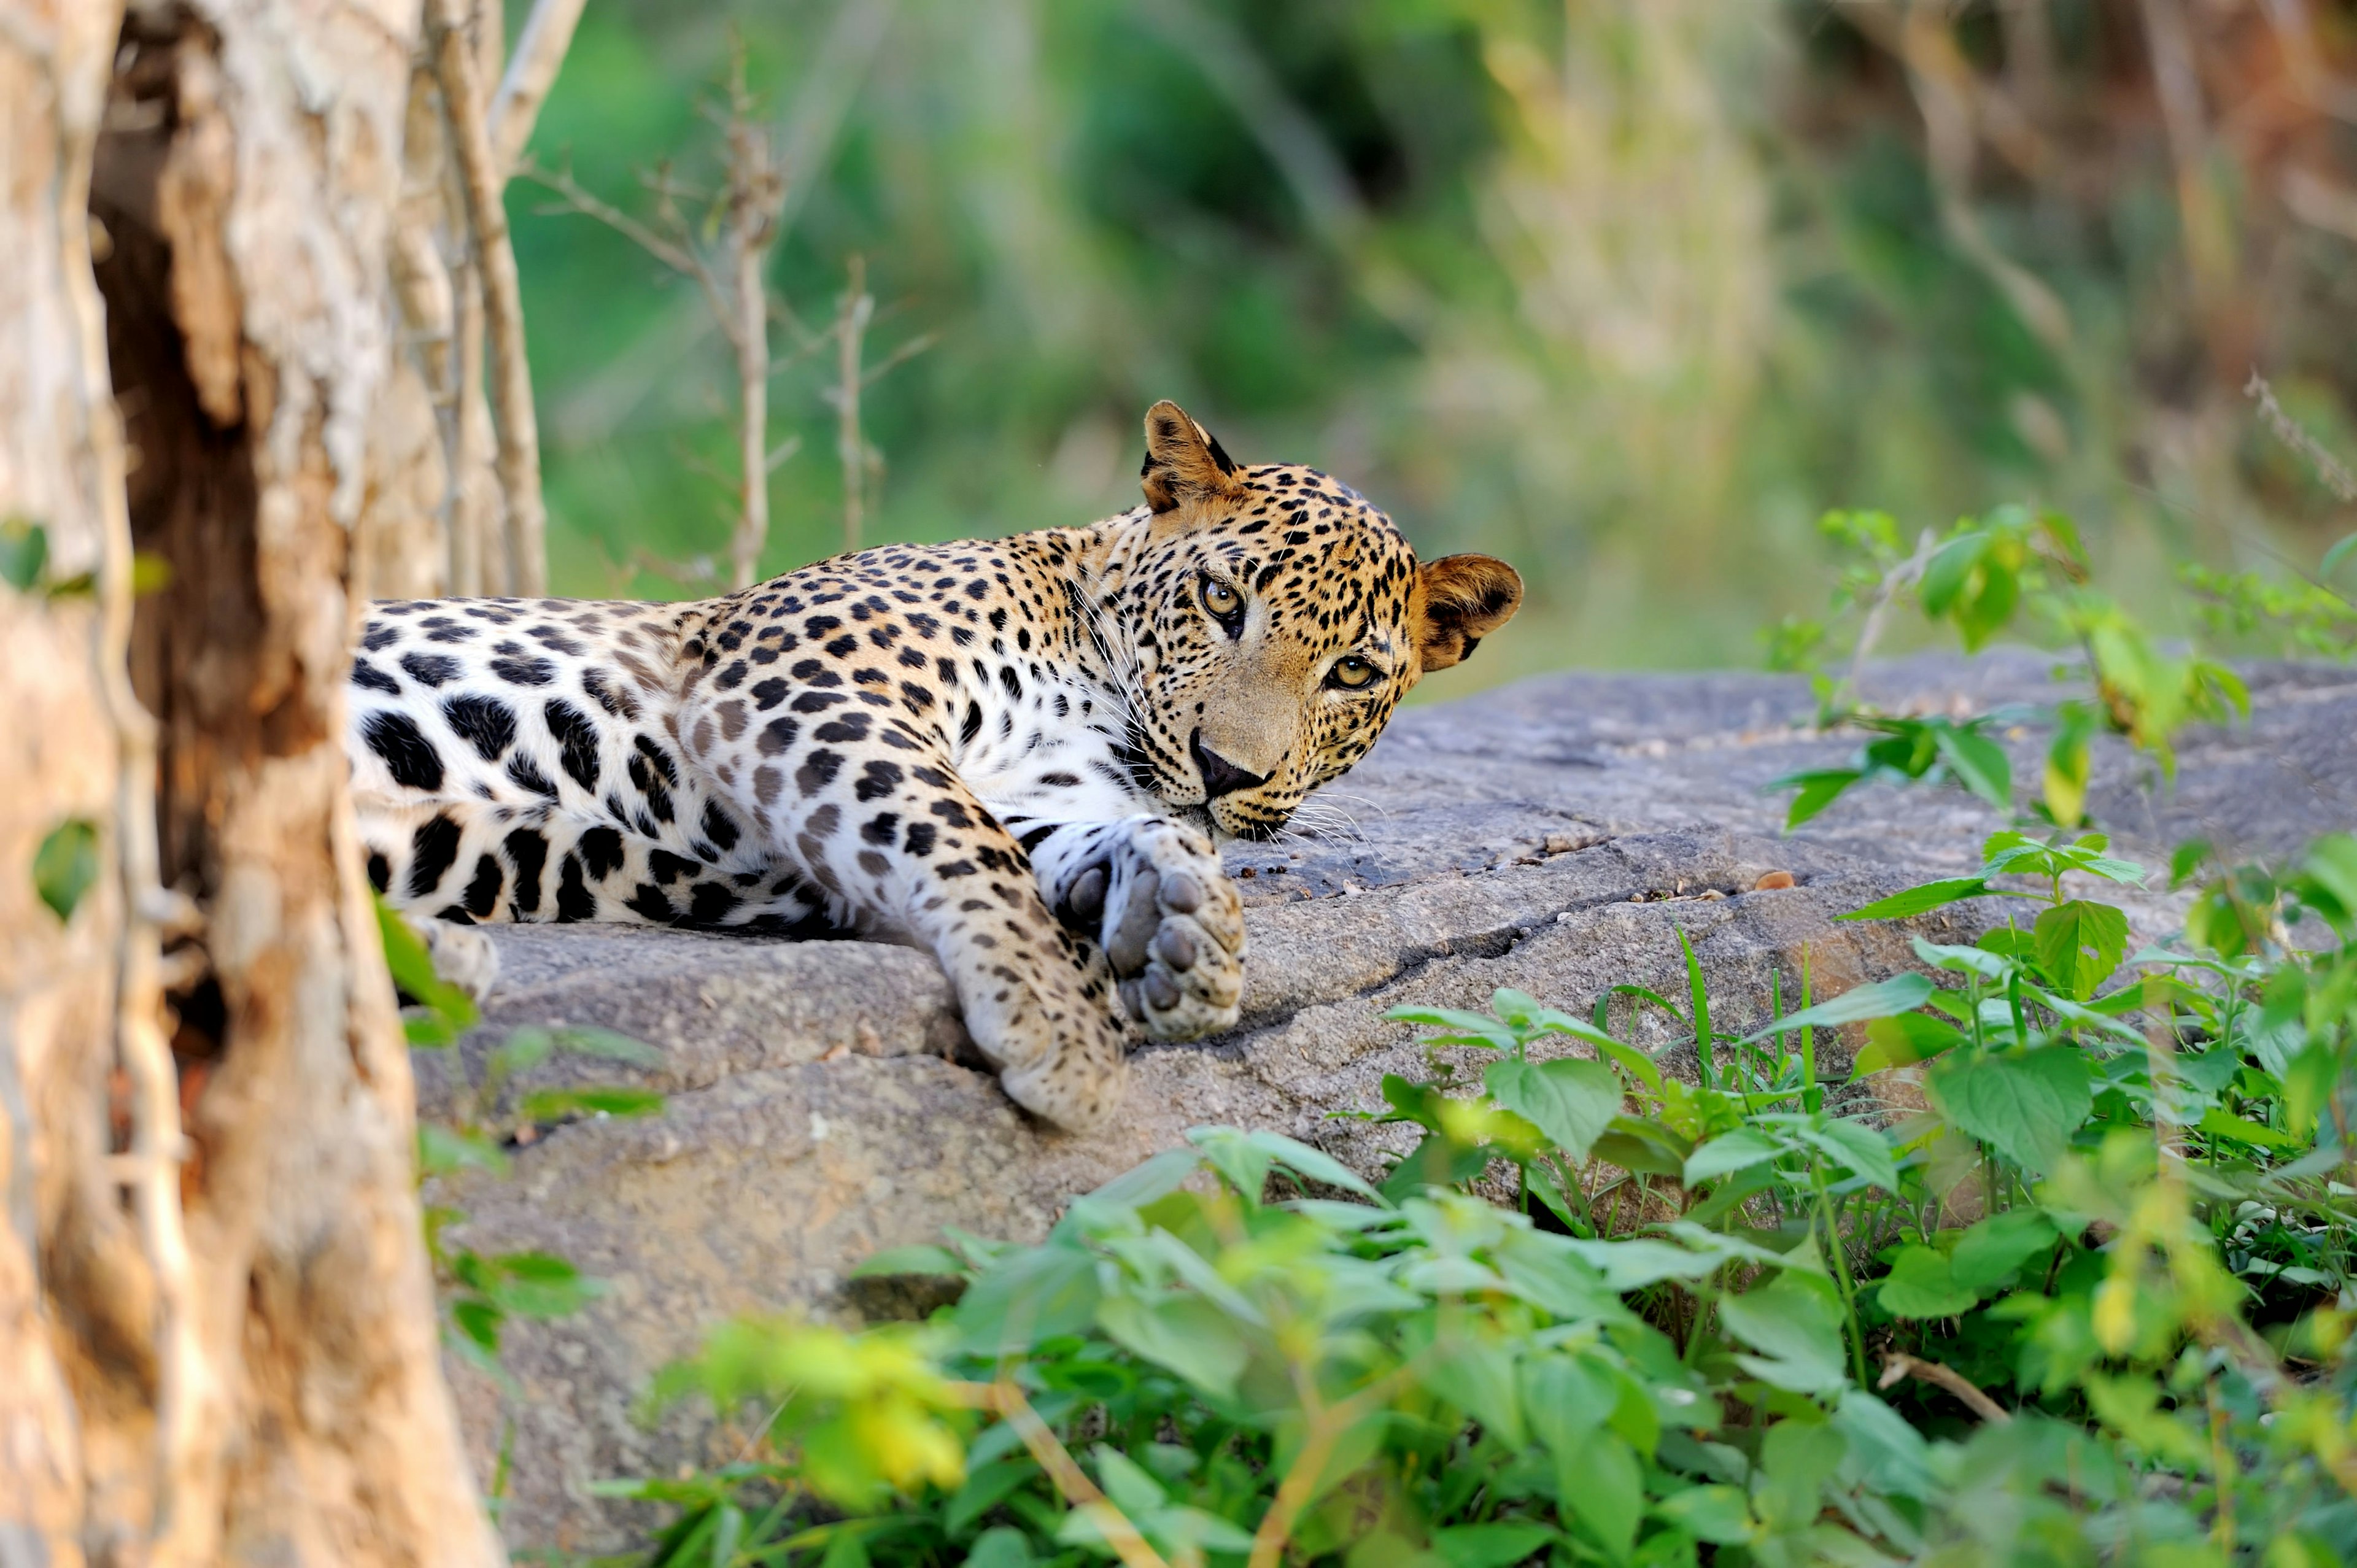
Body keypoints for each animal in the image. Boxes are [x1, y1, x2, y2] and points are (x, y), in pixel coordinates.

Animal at [349, 401, 1527, 1127]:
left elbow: (1049, 833)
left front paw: (1182, 921)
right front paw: (1060, 1028)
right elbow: (958, 836)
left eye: (1351, 672)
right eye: (1220, 599)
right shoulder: (803, 680)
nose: (1224, 769)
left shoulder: (1039, 788)